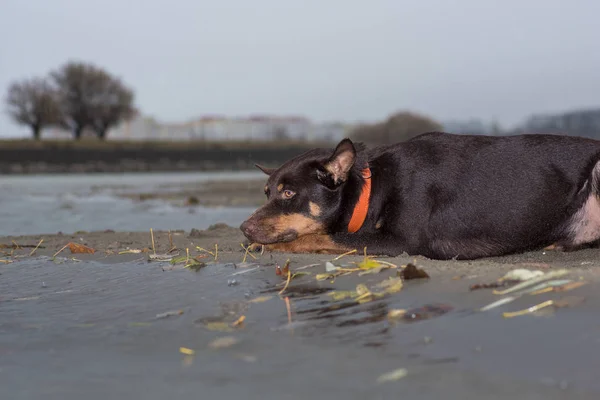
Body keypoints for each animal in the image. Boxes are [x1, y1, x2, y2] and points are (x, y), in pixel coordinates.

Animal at [240, 131, 600, 260]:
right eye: (267, 192)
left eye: (289, 193)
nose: (243, 229)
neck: (372, 188)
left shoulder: (400, 242)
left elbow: (321, 236)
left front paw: (268, 245)